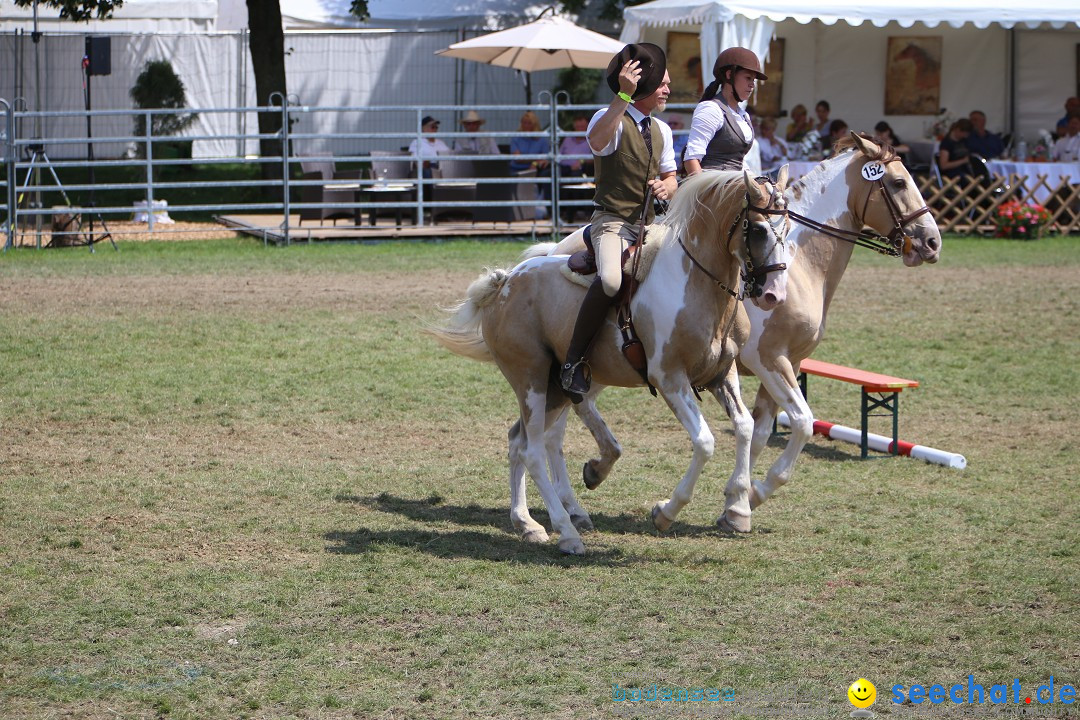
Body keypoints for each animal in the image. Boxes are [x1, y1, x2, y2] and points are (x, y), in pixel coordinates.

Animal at [429, 170, 794, 557]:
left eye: (786, 226)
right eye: (758, 229)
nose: (774, 295)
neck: (696, 285)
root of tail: (504, 283)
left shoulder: (722, 375)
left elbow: (745, 427)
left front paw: (738, 508)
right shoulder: (670, 379)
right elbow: (705, 442)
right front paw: (665, 512)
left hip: (555, 389)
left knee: (519, 442)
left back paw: (528, 523)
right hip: (530, 379)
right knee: (532, 450)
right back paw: (566, 532)